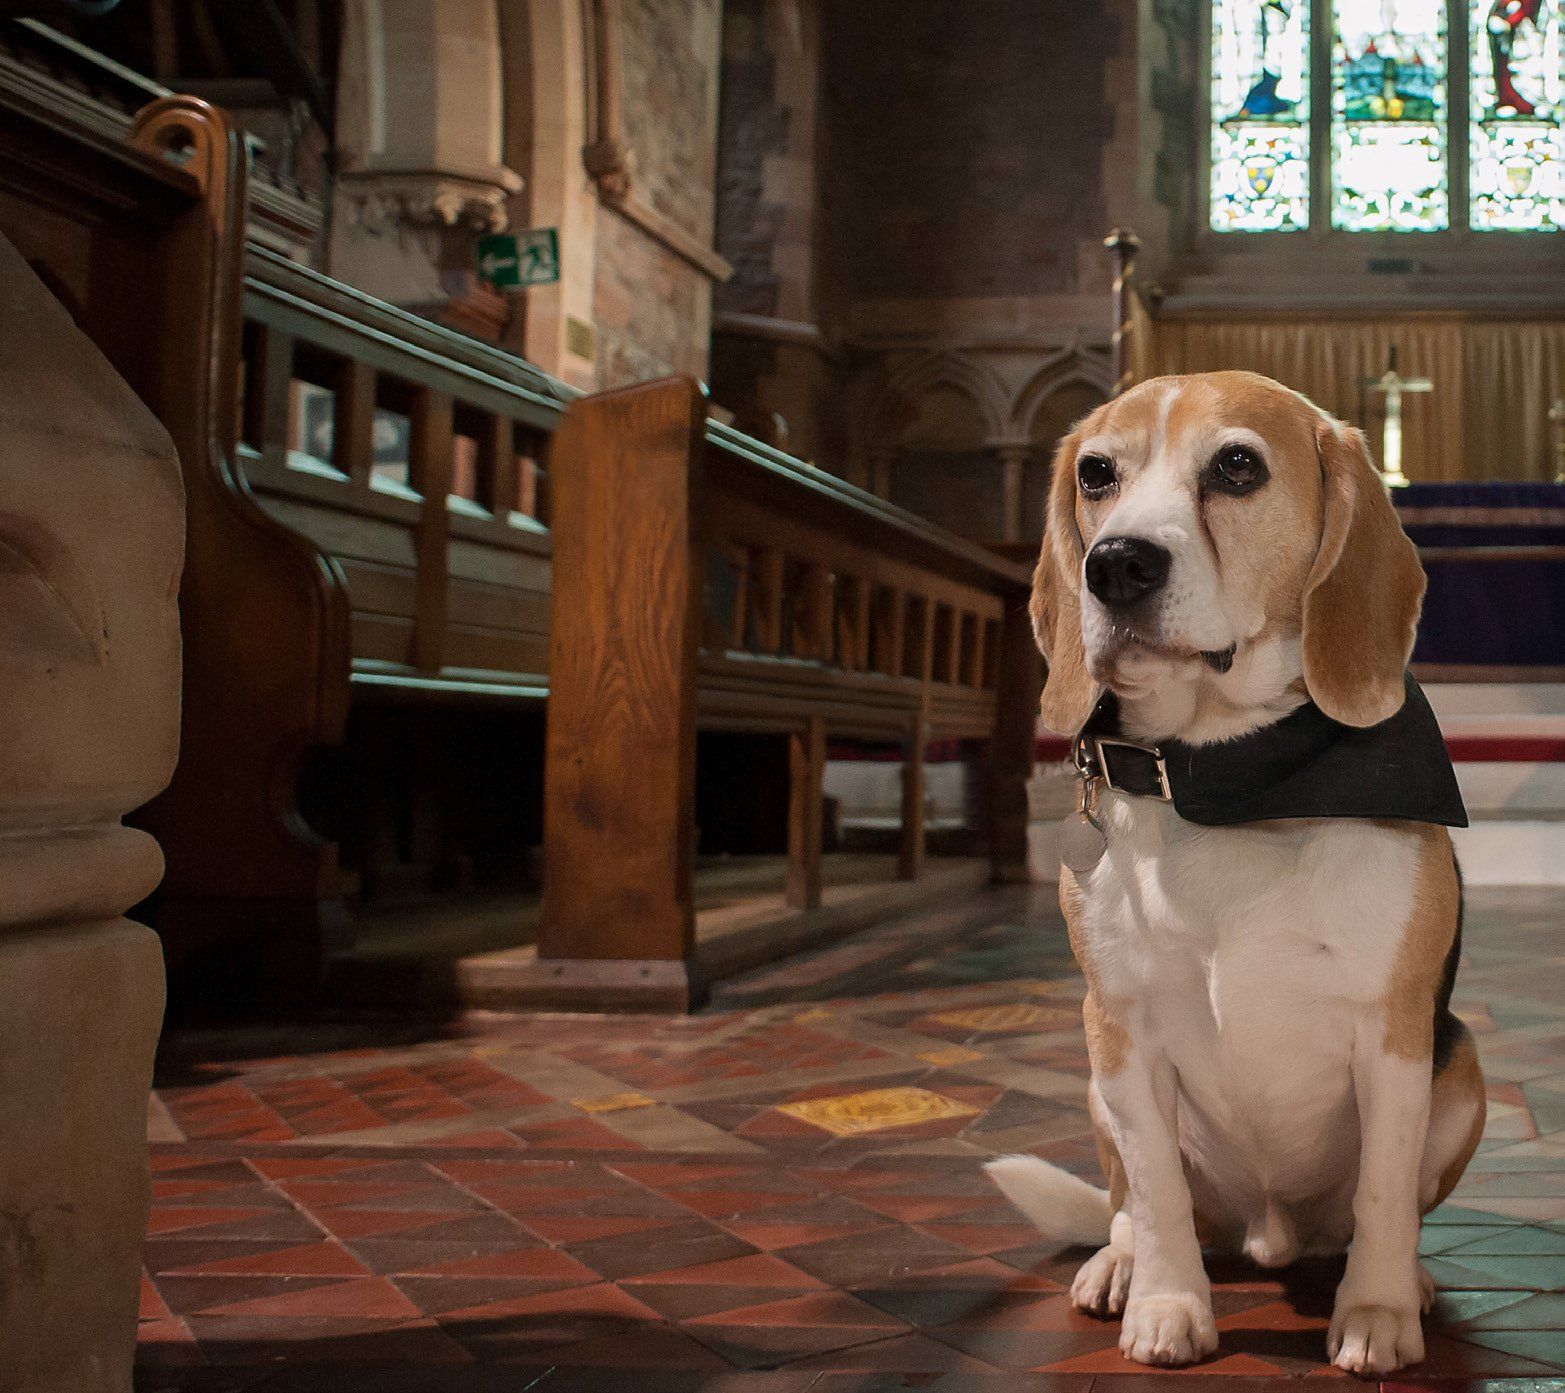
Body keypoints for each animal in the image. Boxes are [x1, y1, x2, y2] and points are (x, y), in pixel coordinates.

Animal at [982, 374, 1483, 1371]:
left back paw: (1404, 1279)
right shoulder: (1122, 1027)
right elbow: (1155, 1190)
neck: (1230, 774)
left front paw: (1374, 1312)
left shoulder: (1393, 1031)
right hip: (1093, 1076)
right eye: (1095, 473)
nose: (1114, 564)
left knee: (1380, 1208)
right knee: (1127, 1200)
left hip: (1462, 1071)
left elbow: (1382, 1190)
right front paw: (1166, 1304)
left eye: (1237, 466)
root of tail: (1267, 1231)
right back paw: (1119, 1266)